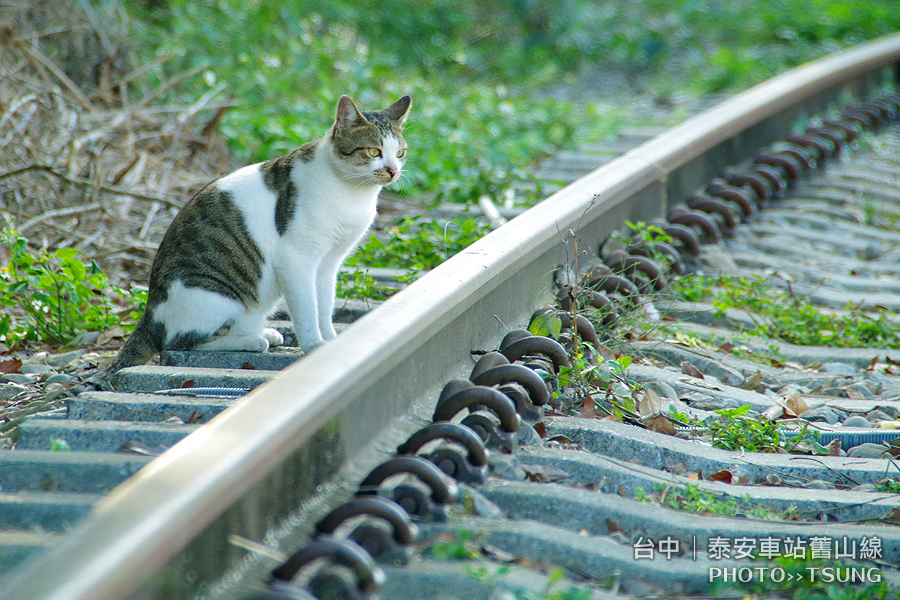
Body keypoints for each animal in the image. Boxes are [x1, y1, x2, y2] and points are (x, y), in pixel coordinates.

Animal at [100, 95, 410, 380]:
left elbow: (324, 304)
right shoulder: (297, 258)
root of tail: (149, 314)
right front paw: (314, 345)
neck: (354, 194)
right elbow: (307, 307)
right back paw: (252, 340)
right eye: (373, 151)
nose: (393, 171)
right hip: (214, 294)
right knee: (179, 342)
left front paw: (332, 339)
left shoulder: (329, 262)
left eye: (400, 153)